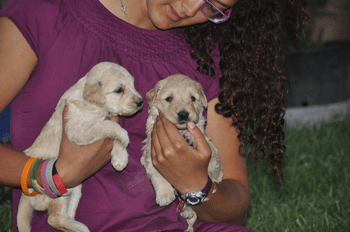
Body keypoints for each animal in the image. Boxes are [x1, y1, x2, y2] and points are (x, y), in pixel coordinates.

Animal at [17, 62, 144, 232]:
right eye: (119, 90)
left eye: (133, 85)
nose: (141, 102)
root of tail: (25, 196)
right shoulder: (79, 130)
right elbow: (109, 126)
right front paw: (124, 136)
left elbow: (112, 136)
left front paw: (120, 158)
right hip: (58, 190)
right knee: (54, 218)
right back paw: (81, 227)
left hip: (74, 189)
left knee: (66, 214)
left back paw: (77, 226)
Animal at [141, 74, 223, 232]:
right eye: (169, 98)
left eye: (193, 98)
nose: (184, 114)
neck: (180, 131)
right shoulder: (151, 149)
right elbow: (155, 172)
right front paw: (164, 194)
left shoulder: (207, 143)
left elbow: (212, 160)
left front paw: (190, 139)